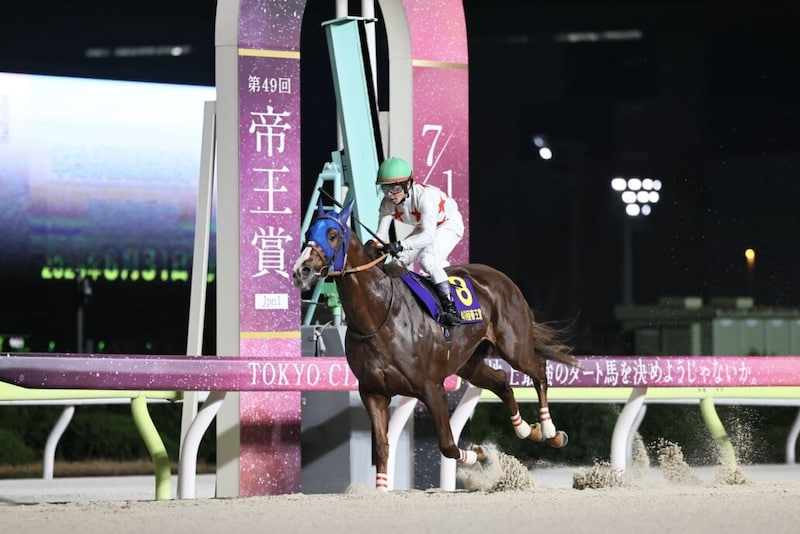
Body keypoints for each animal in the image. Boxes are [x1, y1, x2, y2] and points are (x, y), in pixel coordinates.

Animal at [291, 197, 579, 491]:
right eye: (308, 233)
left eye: (332, 235)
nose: (301, 270)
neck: (377, 316)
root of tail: (502, 278)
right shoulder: (372, 391)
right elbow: (383, 446)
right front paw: (381, 489)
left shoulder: (432, 387)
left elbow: (448, 445)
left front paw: (479, 454)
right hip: (469, 363)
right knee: (501, 381)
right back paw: (524, 428)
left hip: (514, 346)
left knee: (539, 370)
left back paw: (550, 430)